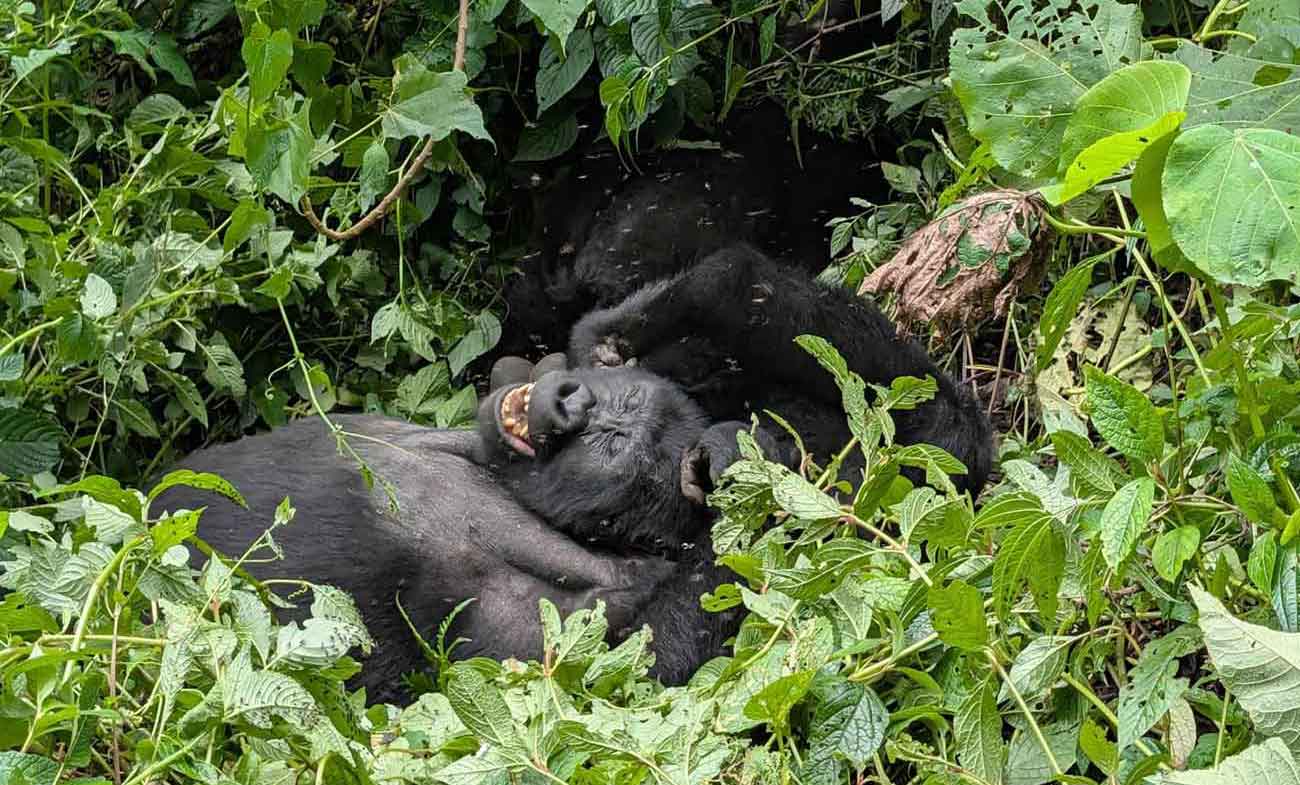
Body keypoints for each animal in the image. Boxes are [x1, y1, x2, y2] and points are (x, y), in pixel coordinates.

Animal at [152, 246, 982, 707]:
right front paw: (646, 323)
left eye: (615, 444)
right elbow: (932, 435)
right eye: (611, 406)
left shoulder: (548, 629)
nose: (570, 401)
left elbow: (649, 667)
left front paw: (740, 460)